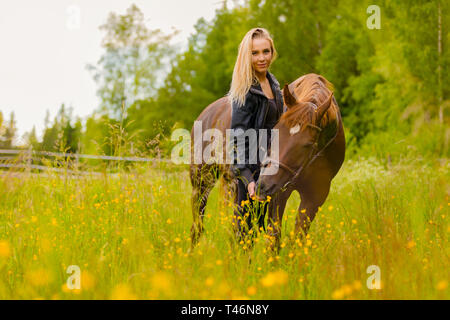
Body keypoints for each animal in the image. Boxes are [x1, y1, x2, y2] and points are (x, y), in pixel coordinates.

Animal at [188, 73, 346, 250]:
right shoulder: (278, 195)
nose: (264, 185)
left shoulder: (315, 196)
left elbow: (298, 236)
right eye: (275, 132)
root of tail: (207, 113)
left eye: (308, 145)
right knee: (198, 225)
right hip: (201, 182)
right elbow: (274, 239)